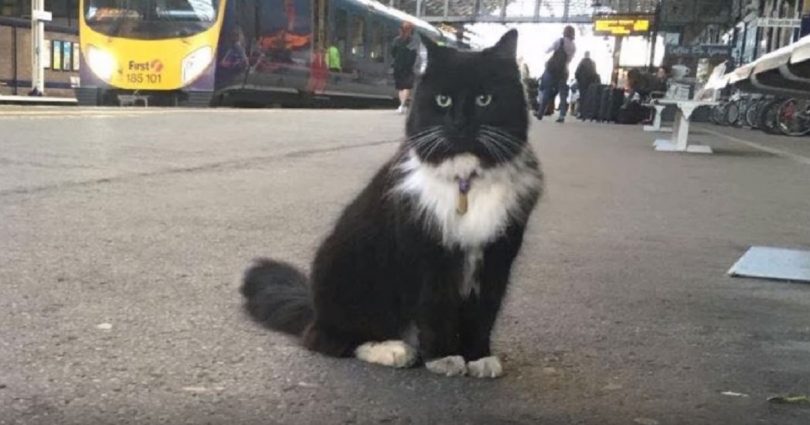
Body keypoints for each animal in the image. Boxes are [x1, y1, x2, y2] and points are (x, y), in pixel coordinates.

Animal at [241, 30, 544, 378]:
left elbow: (484, 314)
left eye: (485, 100)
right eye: (443, 100)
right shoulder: (428, 256)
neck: (466, 182)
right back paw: (393, 349)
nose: (459, 123)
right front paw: (443, 357)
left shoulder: (498, 256)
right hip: (349, 269)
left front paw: (479, 357)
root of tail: (313, 309)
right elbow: (435, 309)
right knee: (330, 339)